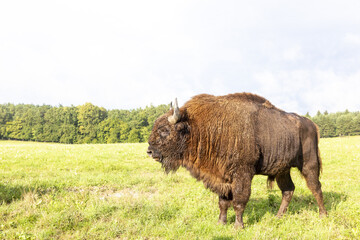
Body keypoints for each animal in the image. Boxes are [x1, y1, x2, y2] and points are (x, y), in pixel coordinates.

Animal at [146, 92, 326, 229]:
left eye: (164, 130)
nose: (150, 151)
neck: (199, 128)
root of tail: (311, 124)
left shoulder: (242, 174)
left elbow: (239, 200)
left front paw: (238, 226)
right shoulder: (221, 177)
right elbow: (223, 202)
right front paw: (220, 223)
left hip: (309, 164)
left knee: (315, 187)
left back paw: (323, 215)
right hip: (283, 170)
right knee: (288, 190)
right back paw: (278, 217)